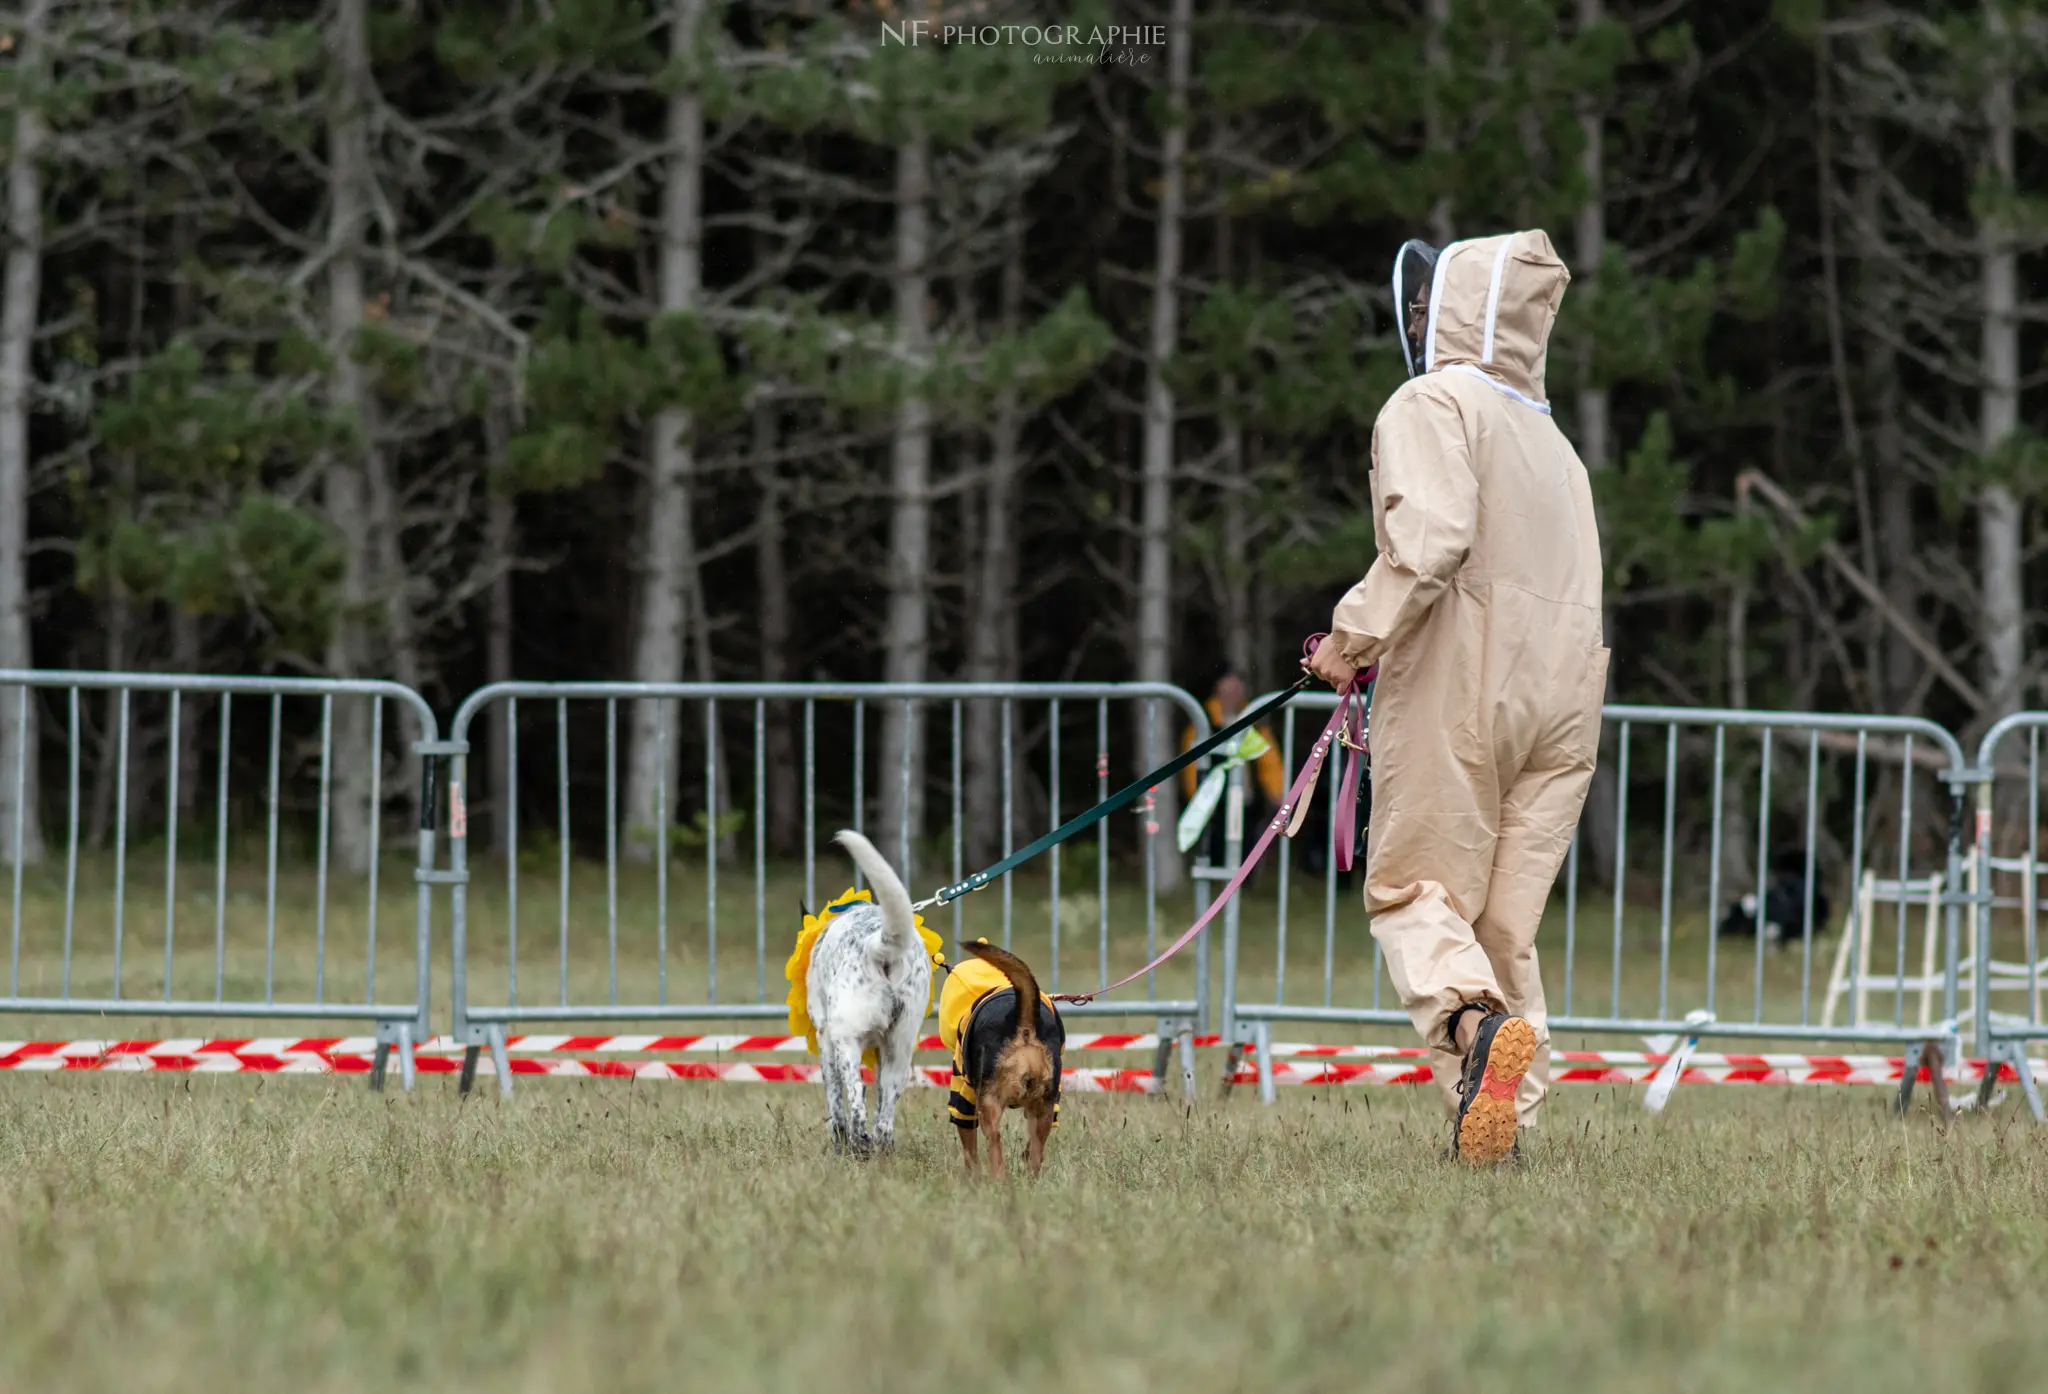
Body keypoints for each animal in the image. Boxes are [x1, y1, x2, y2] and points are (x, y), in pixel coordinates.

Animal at [802, 831, 933, 1146]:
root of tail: (878, 945)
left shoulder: (825, 1038)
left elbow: (834, 1097)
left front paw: (838, 1137)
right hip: (900, 1045)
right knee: (886, 1109)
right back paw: (879, 1145)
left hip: (846, 1039)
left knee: (856, 1093)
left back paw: (858, 1142)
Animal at [942, 933, 1073, 1170]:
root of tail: (1024, 1021)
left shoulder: (964, 1095)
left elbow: (969, 1150)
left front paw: (972, 1175)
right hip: (1045, 1106)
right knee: (1036, 1152)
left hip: (990, 1104)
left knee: (995, 1145)